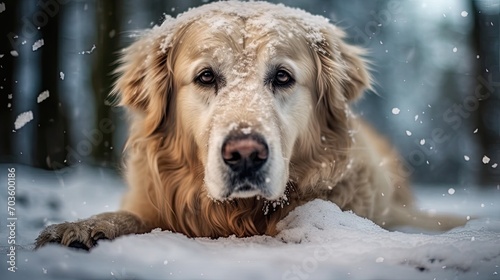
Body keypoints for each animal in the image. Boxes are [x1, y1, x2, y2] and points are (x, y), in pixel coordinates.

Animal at [34, 1, 464, 249]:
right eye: (206, 76)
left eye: (283, 77)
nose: (244, 155)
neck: (236, 216)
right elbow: (133, 216)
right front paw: (85, 226)